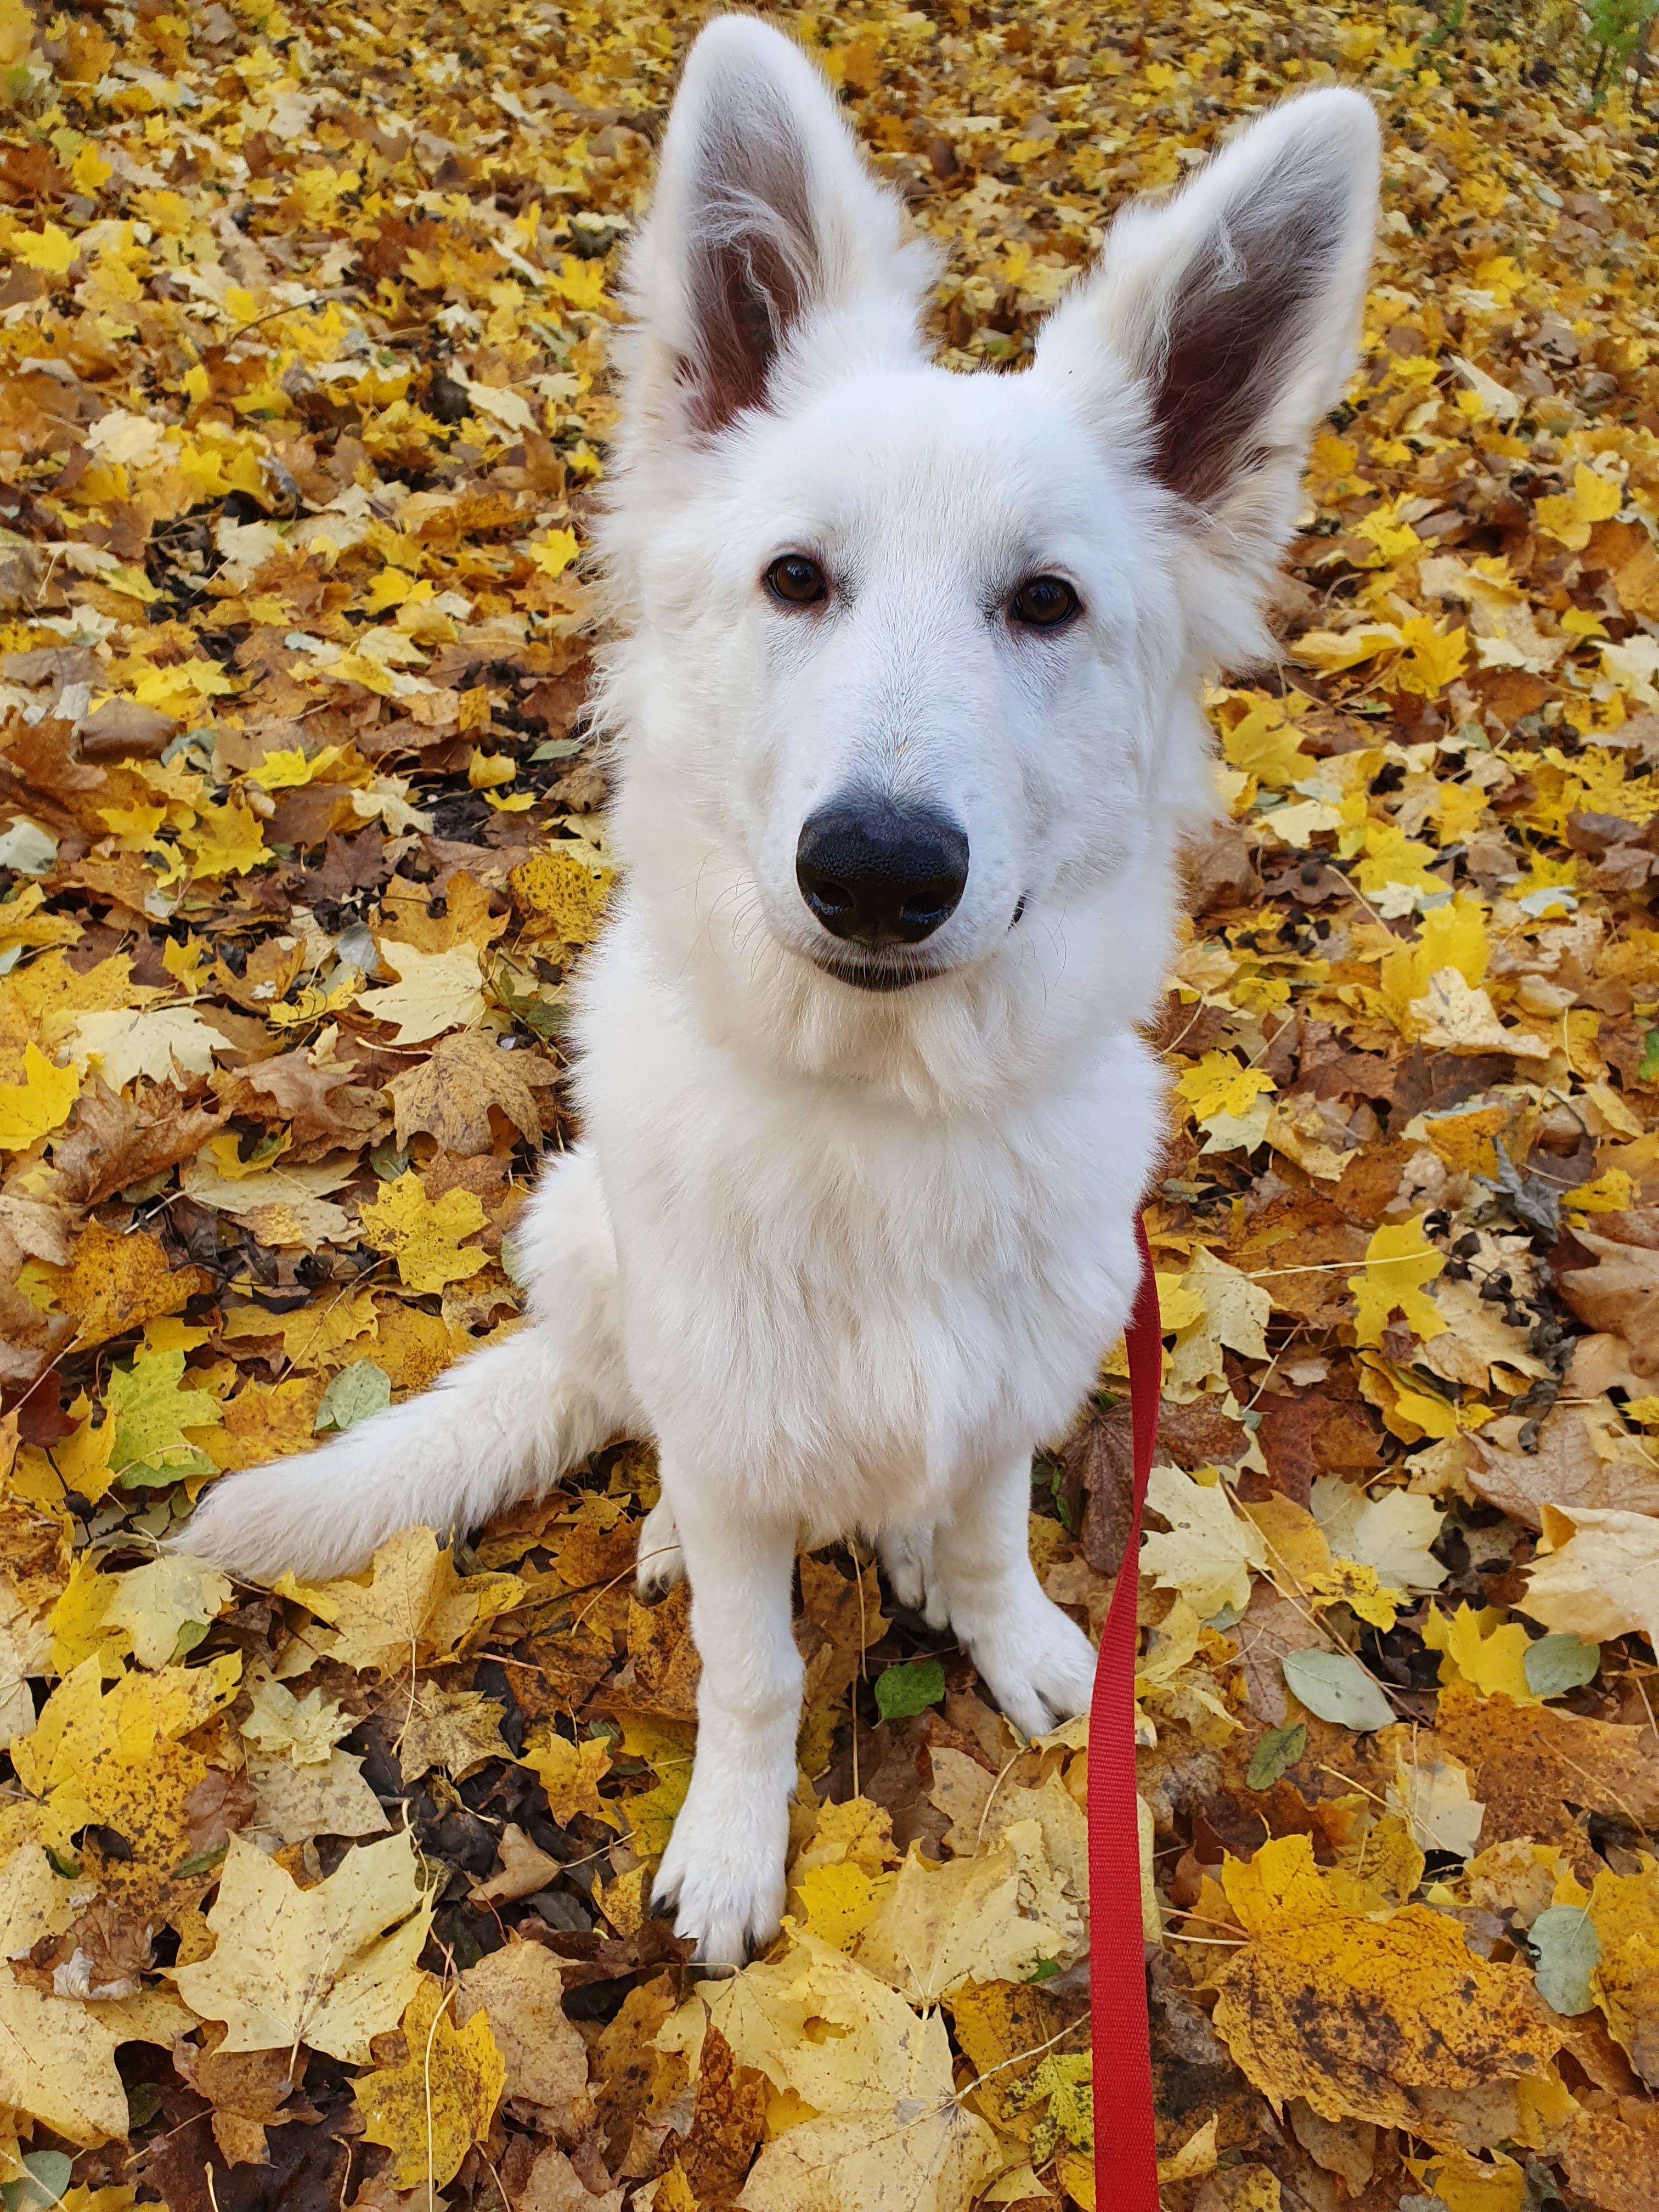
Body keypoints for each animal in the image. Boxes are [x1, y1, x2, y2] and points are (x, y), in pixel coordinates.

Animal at [182, 17, 1379, 1965]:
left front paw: (1016, 1634)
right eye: (797, 579)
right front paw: (740, 1841)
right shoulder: (739, 1453)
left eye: (1048, 604)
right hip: (581, 1231)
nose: (879, 869)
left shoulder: (1007, 1390)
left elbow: (984, 1532)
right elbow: (752, 1668)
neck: (881, 1114)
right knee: (643, 1423)